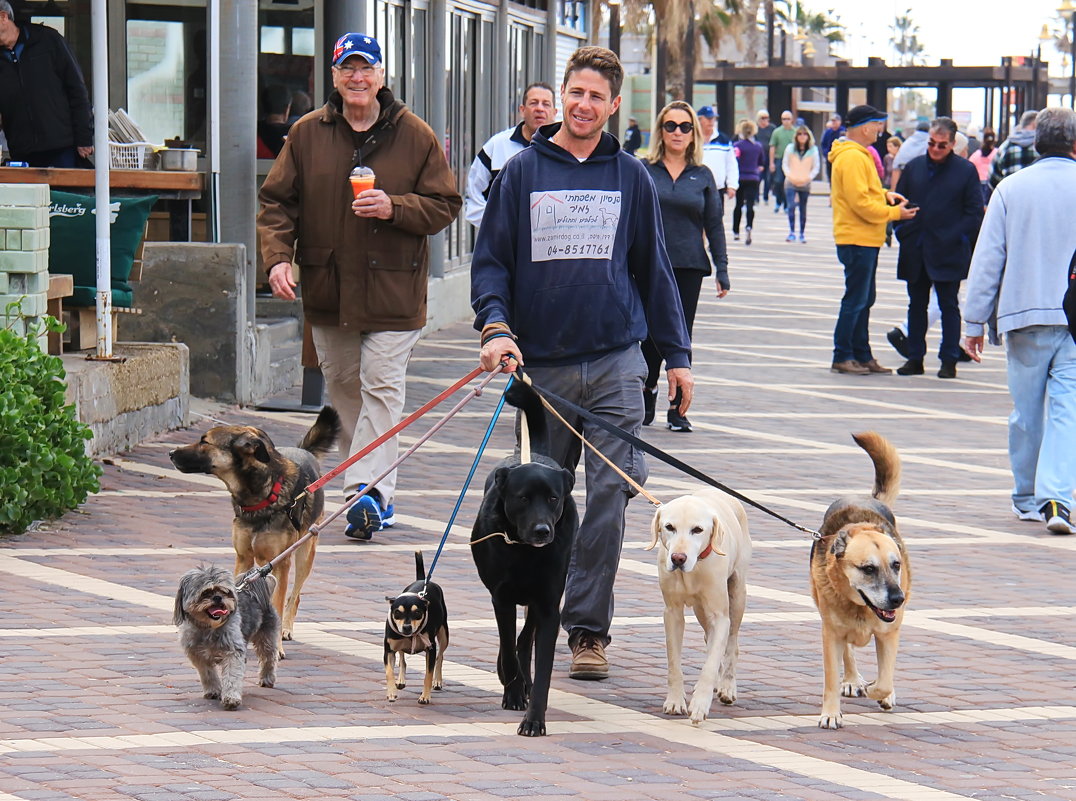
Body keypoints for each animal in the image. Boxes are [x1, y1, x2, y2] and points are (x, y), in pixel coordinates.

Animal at [168, 406, 340, 650]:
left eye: (205, 441)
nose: (170, 453)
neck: (262, 496)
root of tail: (303, 450)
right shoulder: (243, 558)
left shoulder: (281, 564)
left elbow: (278, 603)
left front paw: (276, 646)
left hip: (306, 552)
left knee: (295, 595)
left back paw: (286, 628)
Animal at [173, 568, 281, 710]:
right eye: (205, 592)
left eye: (224, 591)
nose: (218, 597)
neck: (209, 628)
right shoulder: (197, 655)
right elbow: (208, 674)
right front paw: (213, 690)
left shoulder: (233, 652)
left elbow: (232, 676)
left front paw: (231, 698)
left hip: (266, 637)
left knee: (268, 657)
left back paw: (267, 678)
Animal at [473, 376, 581, 736]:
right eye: (522, 498)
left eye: (553, 498)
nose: (543, 531)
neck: (523, 551)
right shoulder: (501, 598)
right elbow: (507, 649)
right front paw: (512, 687)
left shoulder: (548, 605)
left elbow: (541, 664)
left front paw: (534, 719)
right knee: (513, 643)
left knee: (526, 636)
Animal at [641, 488, 753, 727]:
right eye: (669, 527)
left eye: (698, 530)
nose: (678, 558)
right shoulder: (672, 613)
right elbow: (674, 661)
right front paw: (675, 701)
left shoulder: (720, 616)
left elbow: (710, 665)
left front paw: (701, 704)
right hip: (701, 610)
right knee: (709, 638)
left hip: (737, 594)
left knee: (731, 643)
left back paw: (727, 686)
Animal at [809, 432, 912, 732]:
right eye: (868, 569)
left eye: (896, 565)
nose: (898, 599)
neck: (860, 607)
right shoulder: (830, 632)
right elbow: (832, 678)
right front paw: (831, 713)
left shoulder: (889, 633)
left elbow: (885, 679)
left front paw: (882, 692)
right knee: (848, 652)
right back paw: (853, 680)